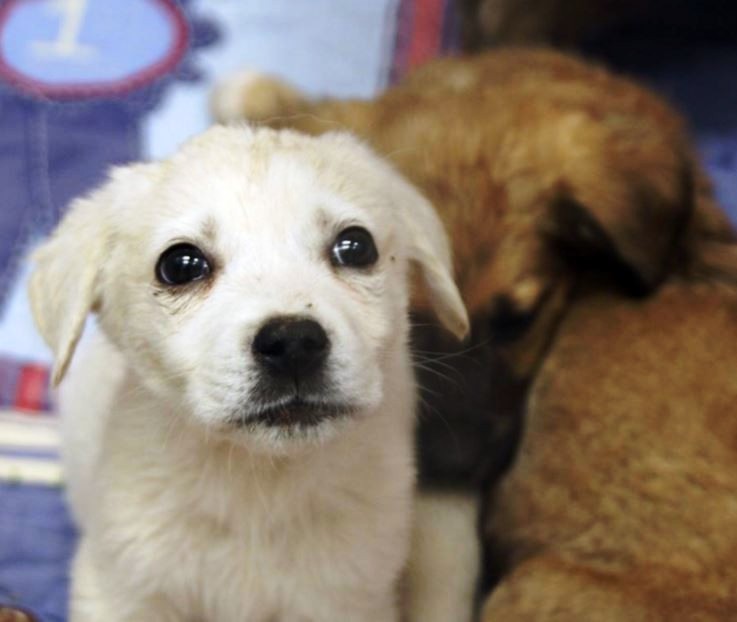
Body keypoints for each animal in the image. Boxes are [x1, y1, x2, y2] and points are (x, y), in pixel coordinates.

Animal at [30, 127, 466, 622]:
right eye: (181, 265)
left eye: (356, 246)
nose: (293, 343)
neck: (257, 484)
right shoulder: (119, 591)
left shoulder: (349, 600)